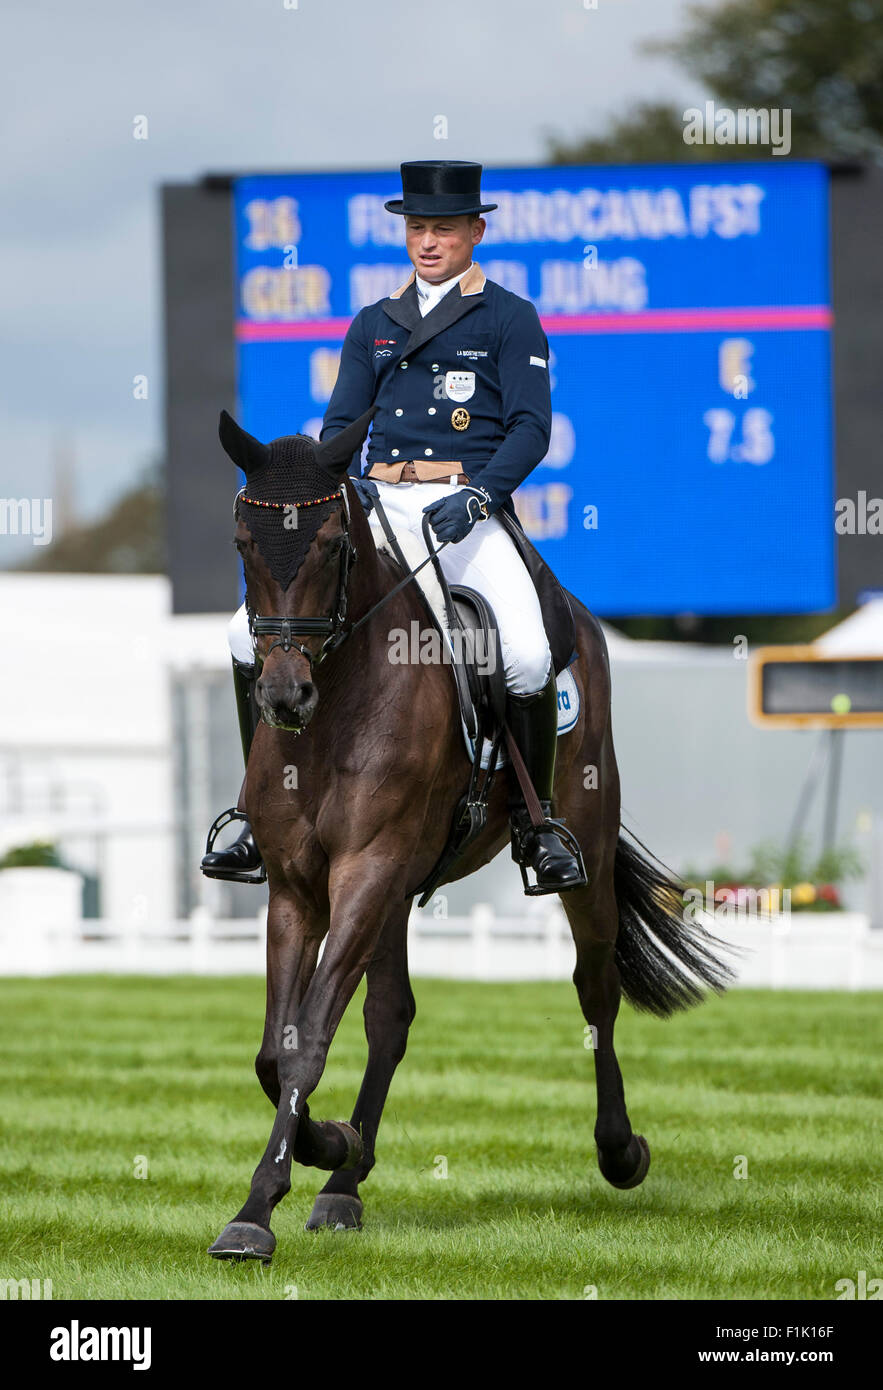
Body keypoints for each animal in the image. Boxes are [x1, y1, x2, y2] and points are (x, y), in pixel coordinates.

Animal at [207, 405, 734, 1267]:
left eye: (333, 545)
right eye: (244, 544)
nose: (285, 695)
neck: (337, 708)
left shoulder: (366, 870)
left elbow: (307, 1040)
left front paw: (259, 1207)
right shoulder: (297, 887)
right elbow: (276, 1049)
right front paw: (324, 1149)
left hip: (577, 854)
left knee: (595, 989)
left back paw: (619, 1150)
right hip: (394, 891)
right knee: (390, 1018)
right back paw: (343, 1182)